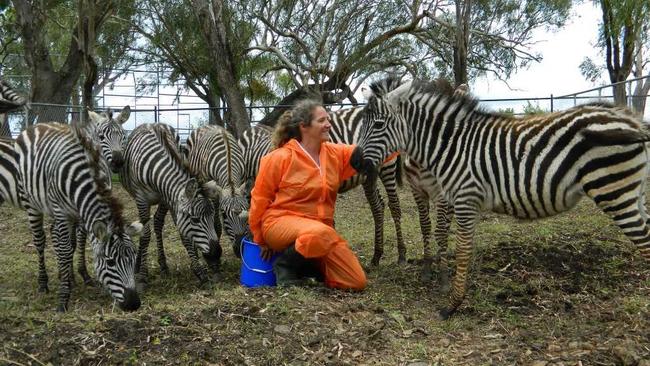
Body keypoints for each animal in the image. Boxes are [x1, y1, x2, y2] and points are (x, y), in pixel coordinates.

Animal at [120, 123, 221, 286]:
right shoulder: (142, 200)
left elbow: (183, 234)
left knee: (157, 222)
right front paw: (142, 276)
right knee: (144, 227)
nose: (216, 254)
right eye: (195, 220)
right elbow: (145, 235)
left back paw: (163, 264)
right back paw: (138, 265)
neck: (156, 166)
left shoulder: (169, 198)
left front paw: (199, 270)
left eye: (212, 217)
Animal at [350, 78, 648, 318]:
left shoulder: (465, 199)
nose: (353, 162)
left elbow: (462, 251)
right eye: (362, 124)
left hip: (613, 191)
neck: (451, 146)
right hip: (632, 193)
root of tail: (629, 118)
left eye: (378, 124)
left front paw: (452, 305)